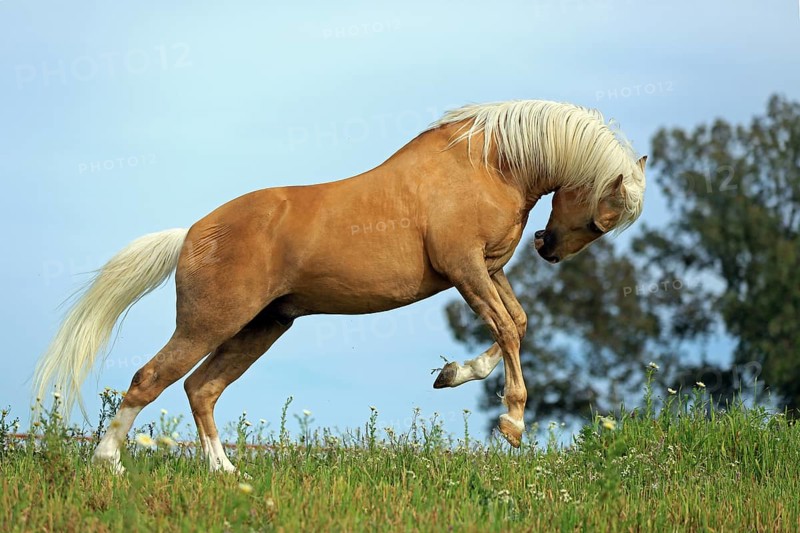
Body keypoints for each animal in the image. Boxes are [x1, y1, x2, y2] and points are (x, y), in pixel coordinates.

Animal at [34, 99, 646, 473]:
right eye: (602, 218)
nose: (548, 247)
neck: (489, 162)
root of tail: (190, 234)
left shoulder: (488, 270)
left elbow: (515, 324)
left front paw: (452, 374)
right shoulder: (465, 269)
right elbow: (509, 329)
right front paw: (513, 423)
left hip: (263, 327)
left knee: (200, 389)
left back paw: (225, 472)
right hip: (211, 323)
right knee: (150, 379)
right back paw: (108, 462)